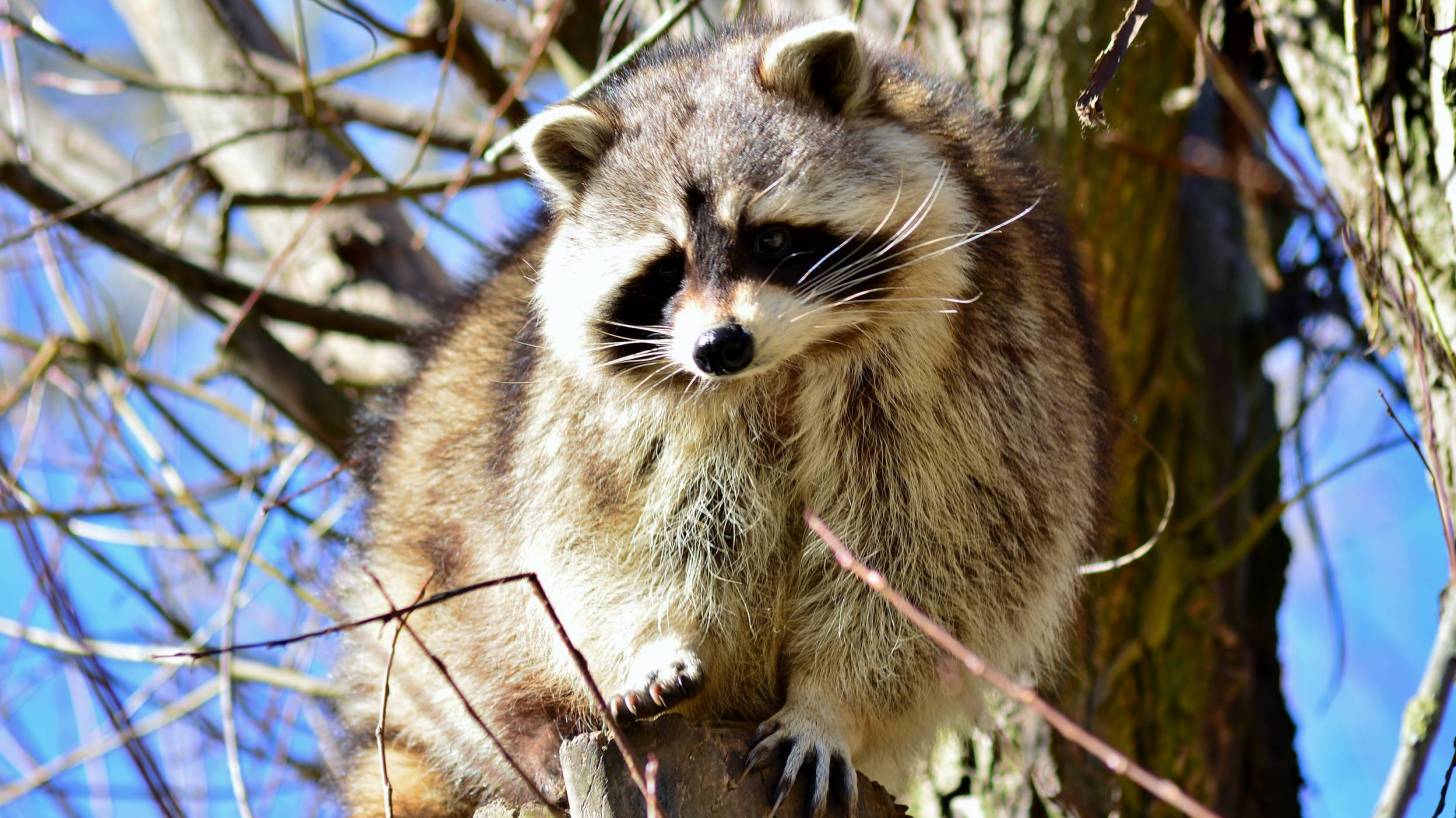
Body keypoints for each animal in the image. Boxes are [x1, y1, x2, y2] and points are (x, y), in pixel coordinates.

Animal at [334, 14, 1106, 815]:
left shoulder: (970, 383)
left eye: (769, 237)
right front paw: (659, 641)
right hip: (433, 549)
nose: (719, 346)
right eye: (666, 269)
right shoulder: (607, 423)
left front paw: (829, 704)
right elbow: (628, 536)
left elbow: (925, 561)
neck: (783, 366)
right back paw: (534, 730)